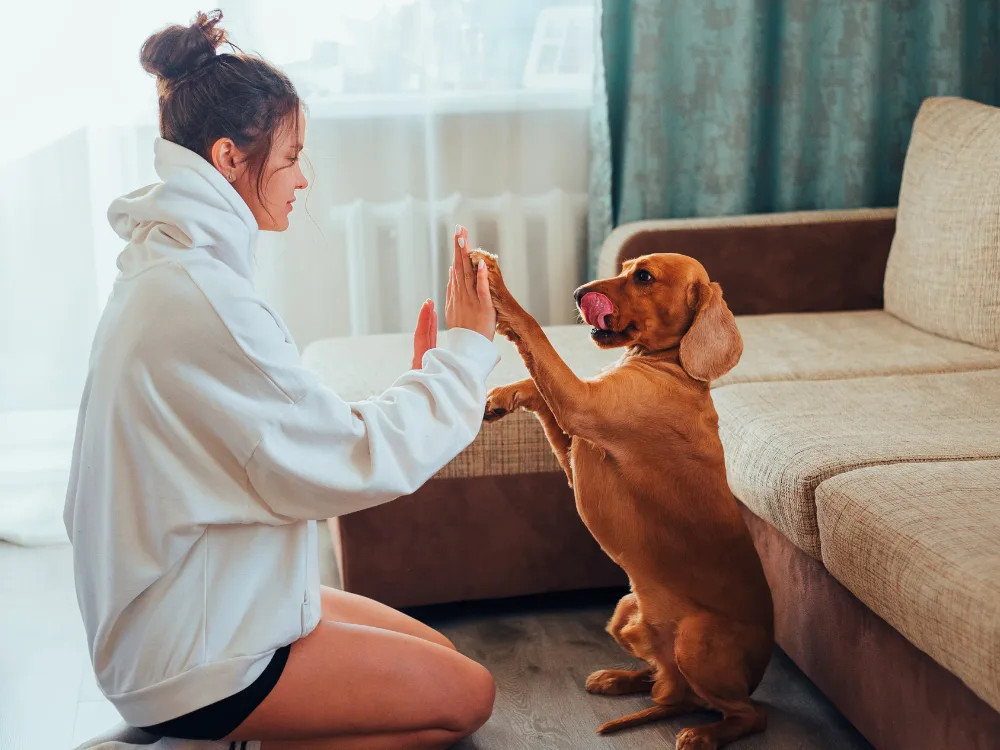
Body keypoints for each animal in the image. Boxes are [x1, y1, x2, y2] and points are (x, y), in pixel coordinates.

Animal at [468, 250, 772, 748]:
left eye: (644, 277)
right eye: (626, 266)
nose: (578, 294)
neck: (674, 368)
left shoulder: (581, 405)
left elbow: (534, 334)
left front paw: (496, 286)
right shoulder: (575, 442)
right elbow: (539, 389)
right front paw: (502, 395)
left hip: (695, 640)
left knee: (748, 715)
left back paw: (703, 734)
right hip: (626, 611)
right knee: (663, 682)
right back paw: (619, 678)